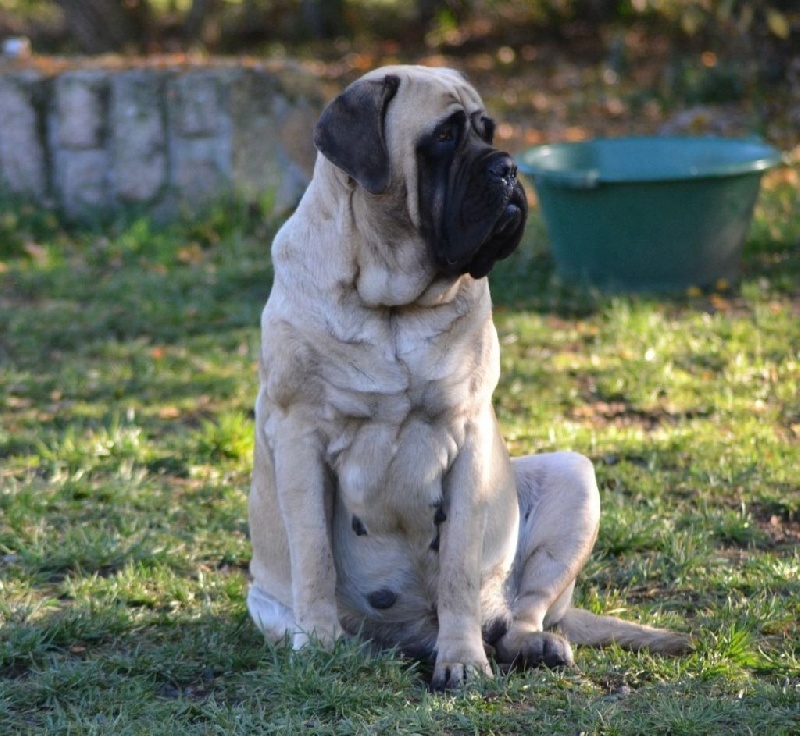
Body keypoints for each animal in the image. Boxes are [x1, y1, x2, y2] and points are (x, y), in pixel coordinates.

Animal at [247, 64, 692, 688]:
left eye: (489, 131)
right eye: (443, 137)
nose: (508, 167)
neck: (393, 306)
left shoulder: (469, 437)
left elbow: (458, 566)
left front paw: (462, 660)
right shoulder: (299, 438)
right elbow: (313, 556)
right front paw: (318, 645)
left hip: (573, 478)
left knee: (524, 610)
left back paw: (530, 645)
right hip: (263, 599)